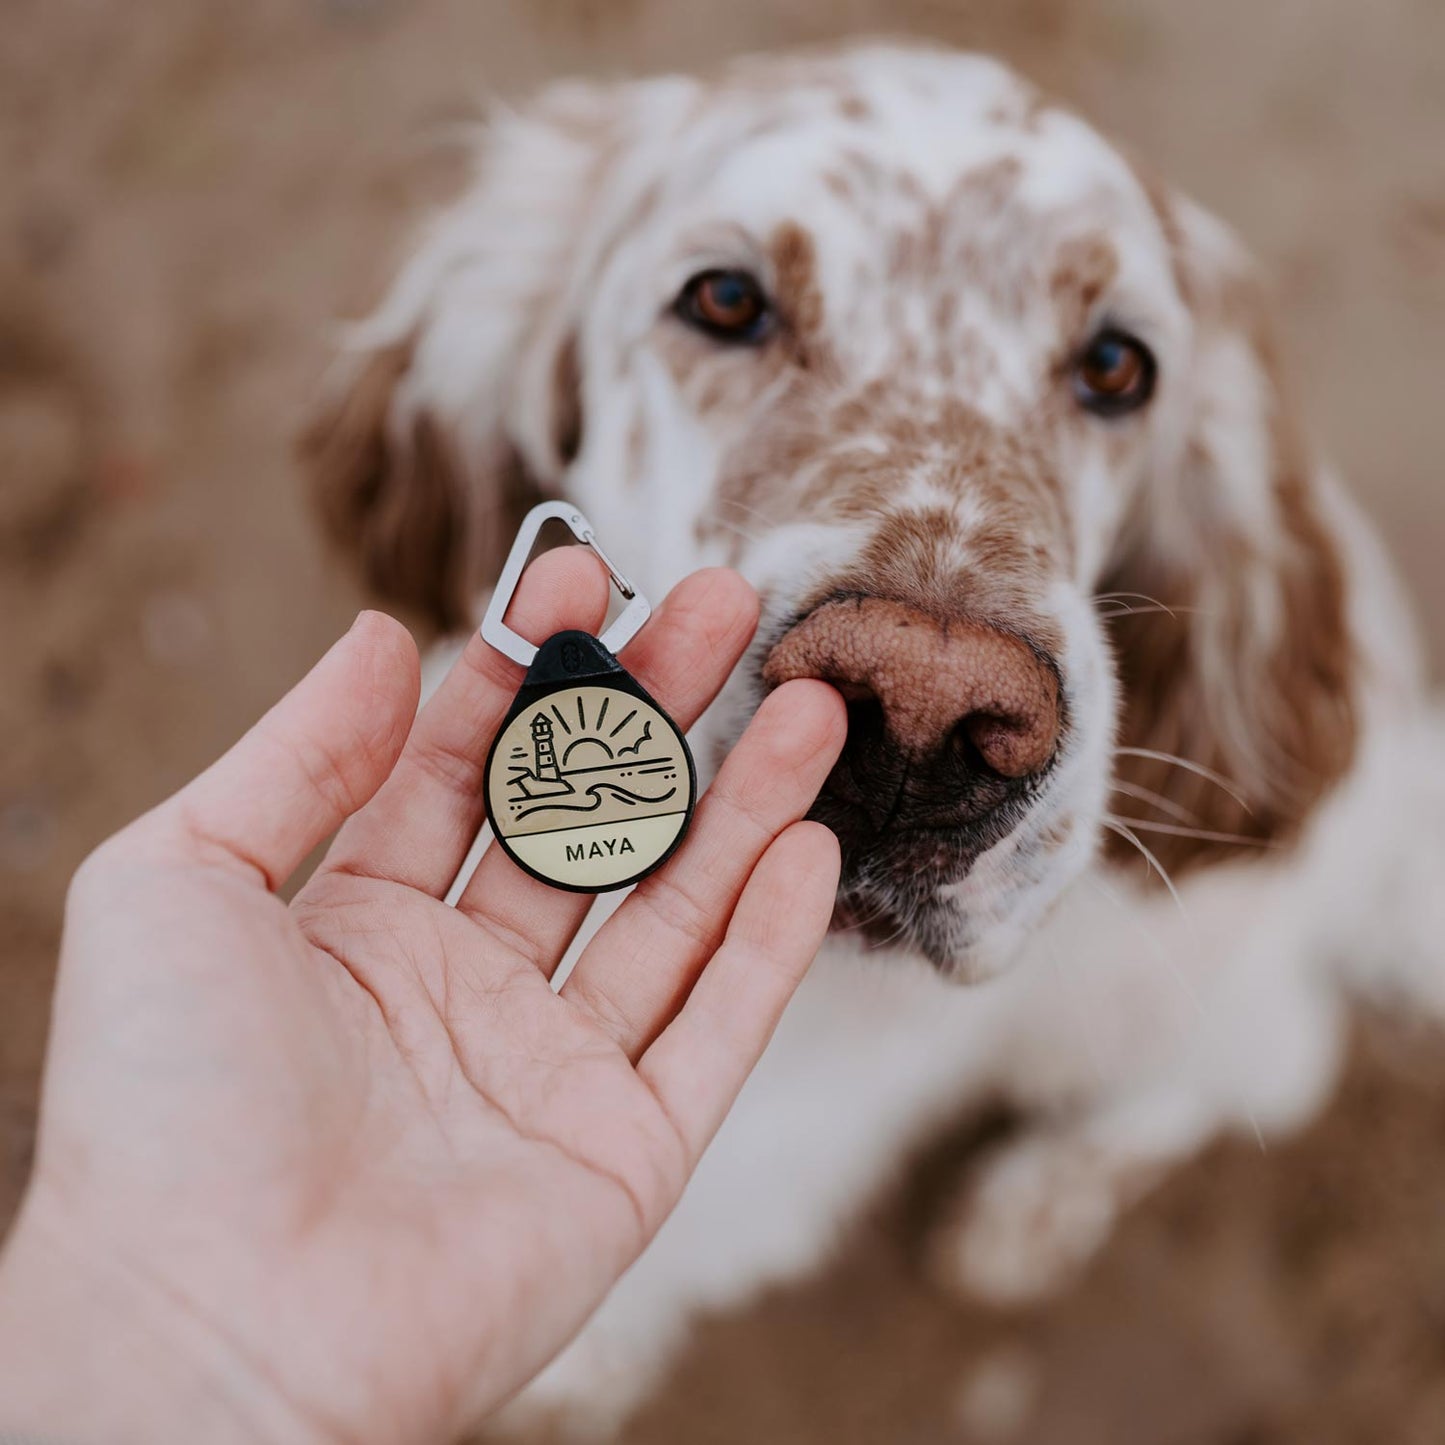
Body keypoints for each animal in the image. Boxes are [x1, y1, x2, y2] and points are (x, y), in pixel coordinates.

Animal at [299, 42, 1439, 1433]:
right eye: (725, 296)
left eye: (1117, 365)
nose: (921, 715)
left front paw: (572, 1368)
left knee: (1260, 1069)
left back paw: (1037, 1204)